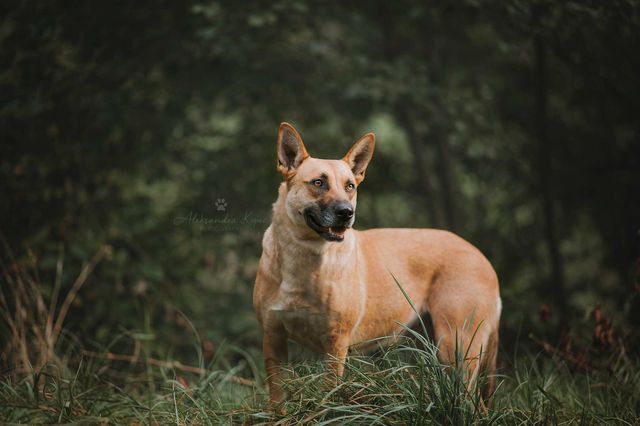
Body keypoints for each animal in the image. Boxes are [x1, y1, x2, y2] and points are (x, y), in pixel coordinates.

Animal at [254, 123, 500, 406]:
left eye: (350, 186)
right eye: (318, 182)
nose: (346, 212)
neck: (303, 259)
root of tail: (481, 257)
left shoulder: (336, 342)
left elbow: (328, 395)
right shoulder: (273, 337)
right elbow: (277, 401)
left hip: (457, 346)